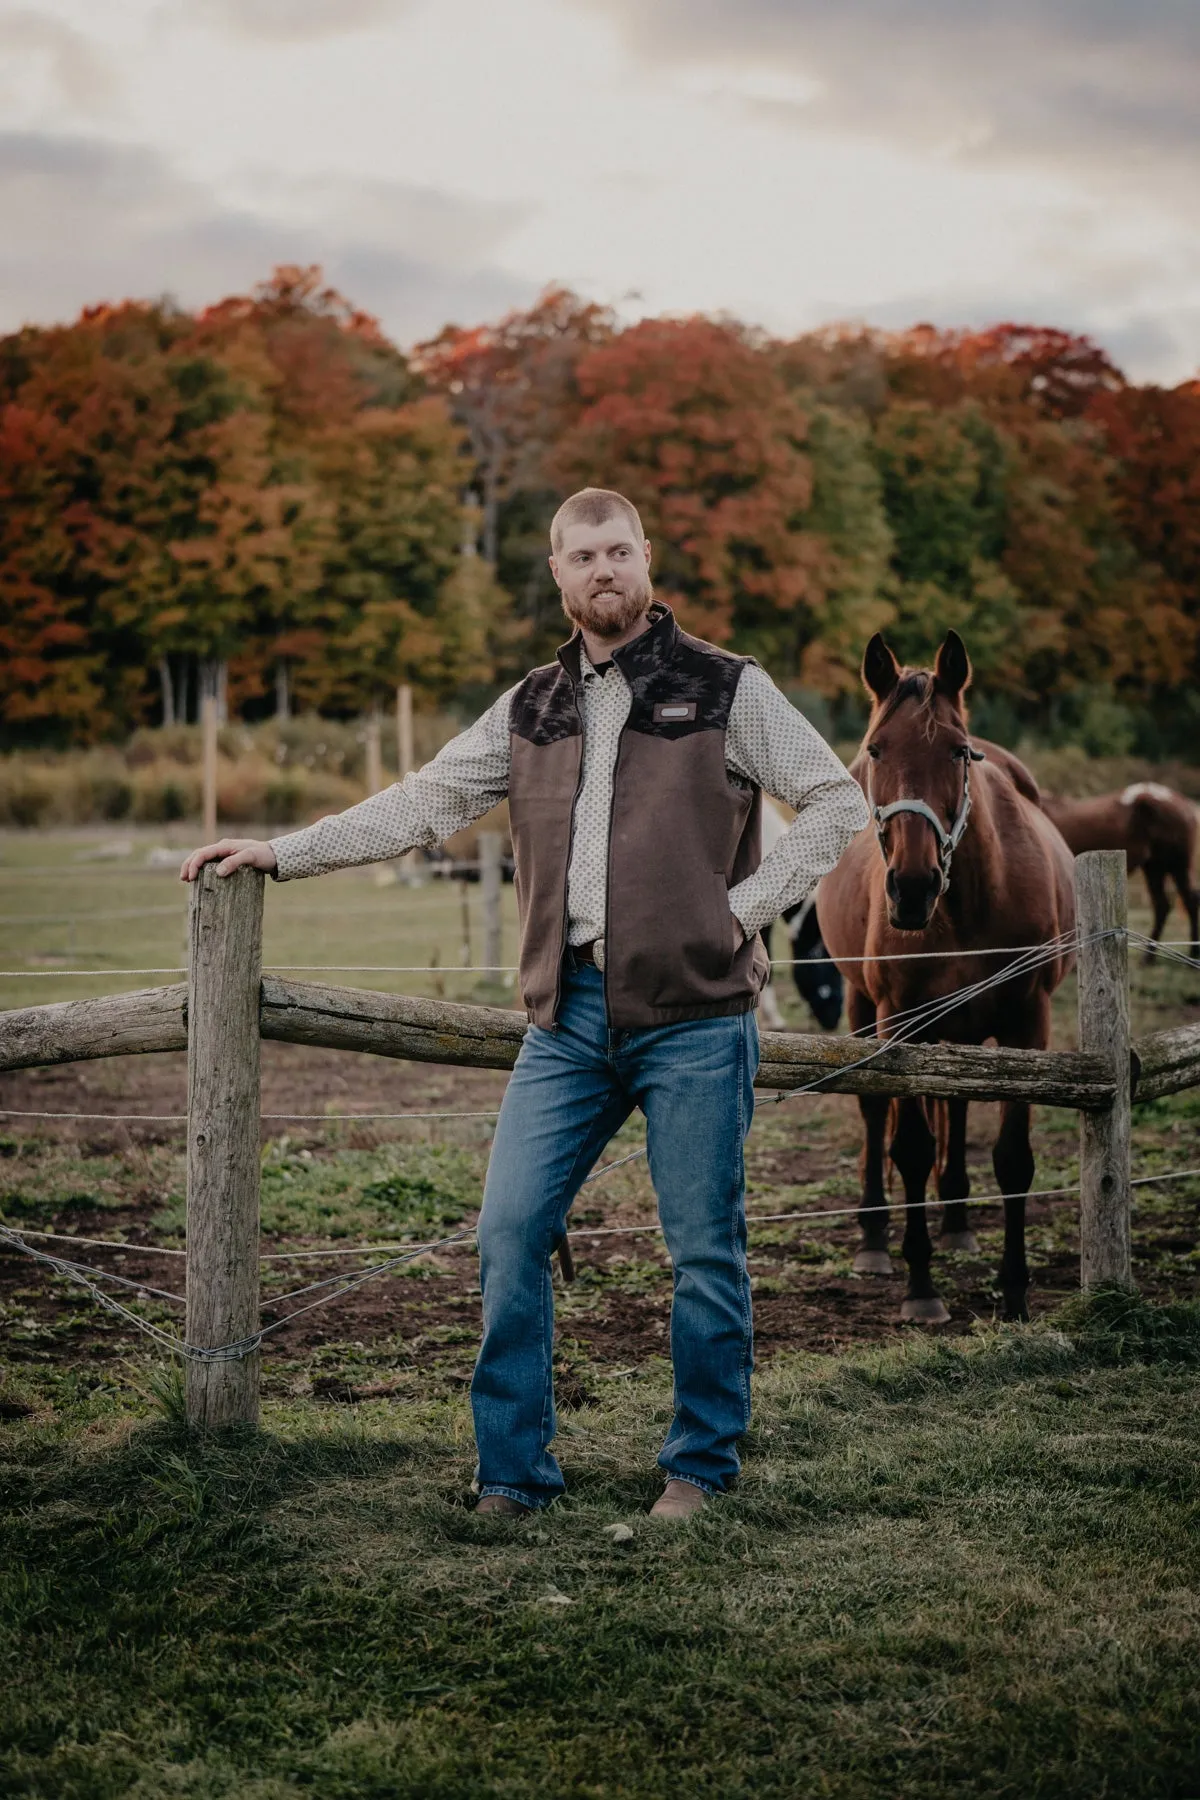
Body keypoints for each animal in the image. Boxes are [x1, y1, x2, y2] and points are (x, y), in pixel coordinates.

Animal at [820, 633, 1072, 1324]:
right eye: (877, 749)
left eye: (958, 751)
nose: (912, 887)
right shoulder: (900, 1026)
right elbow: (907, 1145)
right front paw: (920, 1287)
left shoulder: (1027, 1026)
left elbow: (1012, 1159)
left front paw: (1014, 1290)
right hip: (864, 1006)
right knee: (875, 1111)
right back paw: (876, 1239)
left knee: (955, 1106)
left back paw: (956, 1220)